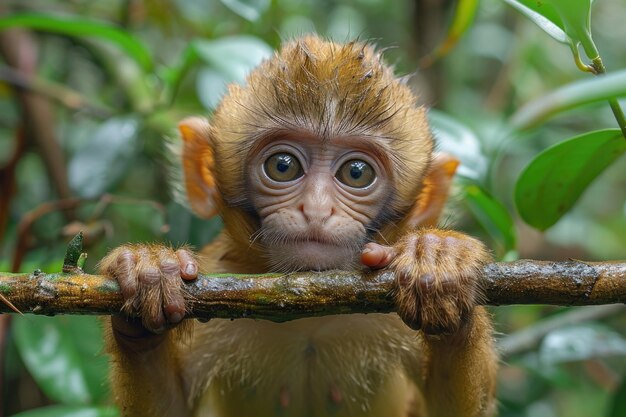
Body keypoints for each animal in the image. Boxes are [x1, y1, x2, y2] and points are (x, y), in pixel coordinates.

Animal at [100, 35, 494, 416]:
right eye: (283, 166)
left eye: (356, 173)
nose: (316, 210)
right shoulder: (213, 279)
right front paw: (148, 274)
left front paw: (440, 262)